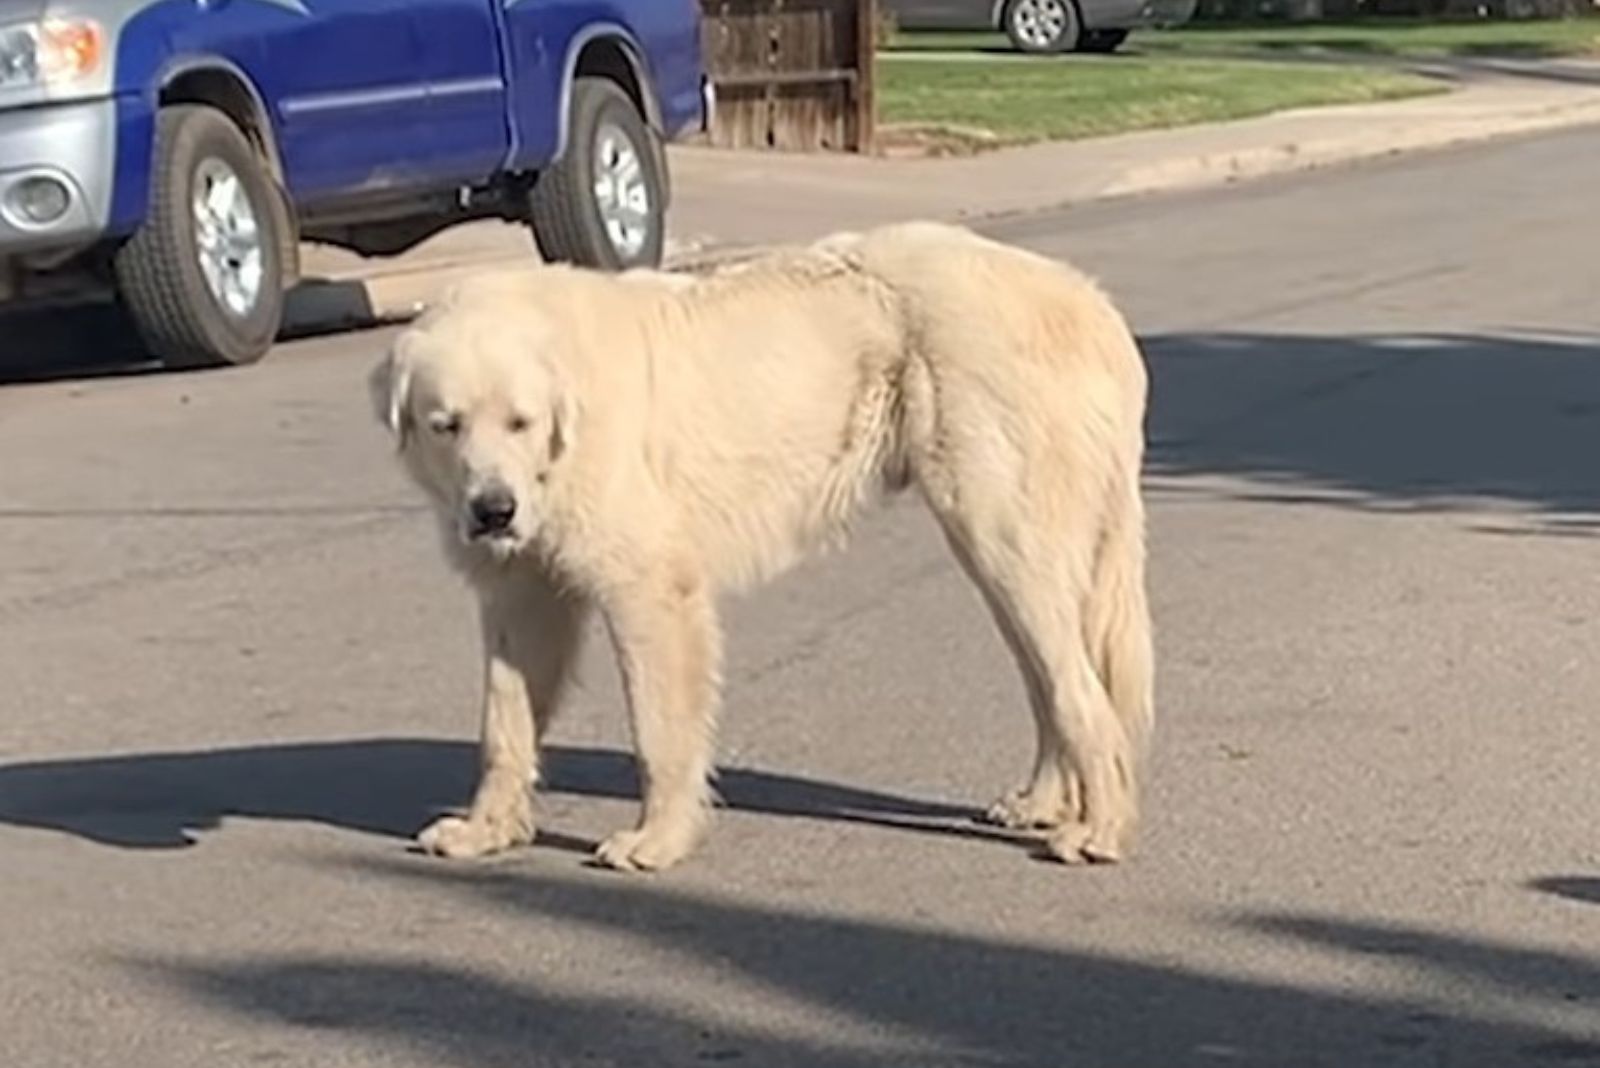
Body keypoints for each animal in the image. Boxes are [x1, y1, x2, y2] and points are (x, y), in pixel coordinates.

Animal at [371, 220, 1152, 869]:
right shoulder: (522, 595)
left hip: (1001, 531)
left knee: (1080, 691)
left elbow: (659, 729)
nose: (493, 511)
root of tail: (1093, 305)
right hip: (1001, 552)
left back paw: (1100, 830)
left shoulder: (650, 589)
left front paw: (656, 841)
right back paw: (1044, 803)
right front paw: (485, 830)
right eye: (446, 425)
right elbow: (503, 725)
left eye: (520, 421)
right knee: (1051, 680)